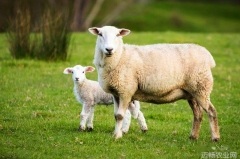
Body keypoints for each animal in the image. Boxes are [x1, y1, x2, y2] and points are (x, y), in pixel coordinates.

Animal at [89, 25, 220, 142]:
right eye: (100, 34)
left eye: (117, 35)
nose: (109, 49)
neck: (120, 56)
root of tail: (208, 56)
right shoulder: (116, 93)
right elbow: (116, 115)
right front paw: (117, 134)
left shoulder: (126, 91)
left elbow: (120, 116)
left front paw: (117, 136)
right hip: (192, 92)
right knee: (198, 114)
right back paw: (193, 137)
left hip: (201, 87)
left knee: (211, 111)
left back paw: (215, 138)